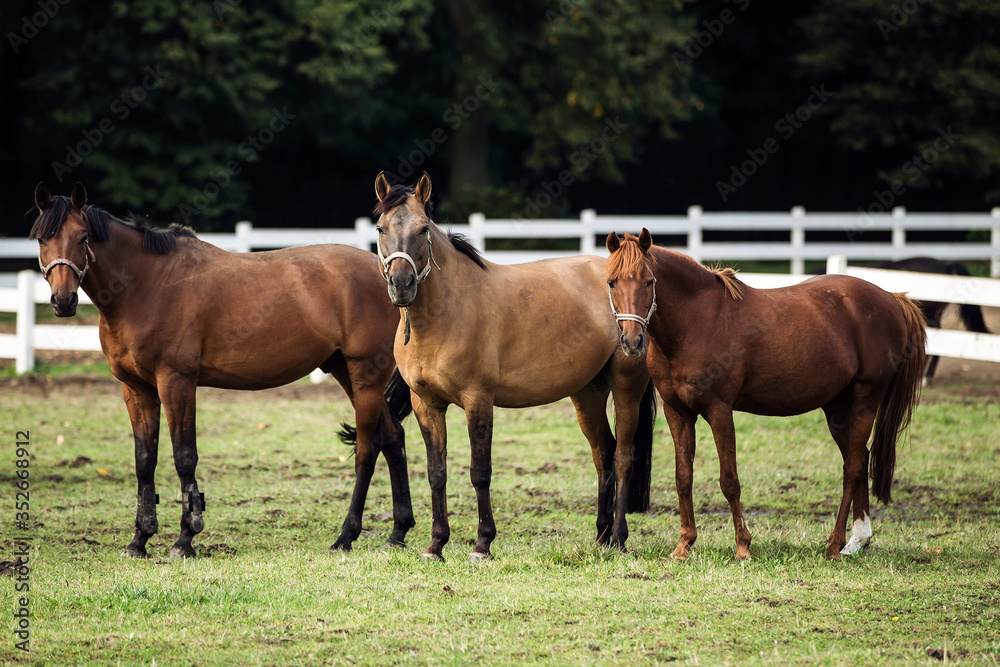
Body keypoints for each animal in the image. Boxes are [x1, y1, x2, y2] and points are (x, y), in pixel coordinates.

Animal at [30, 182, 414, 558]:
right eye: (42, 239)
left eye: (83, 237)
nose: (63, 301)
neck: (146, 285)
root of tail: (392, 276)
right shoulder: (136, 389)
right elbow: (144, 459)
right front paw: (139, 539)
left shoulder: (176, 383)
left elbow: (184, 456)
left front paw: (185, 538)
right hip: (347, 372)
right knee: (392, 438)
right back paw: (397, 532)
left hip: (365, 376)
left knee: (367, 449)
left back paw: (346, 536)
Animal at [372, 172, 656, 561]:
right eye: (381, 228)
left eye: (423, 228)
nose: (401, 285)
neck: (446, 313)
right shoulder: (425, 404)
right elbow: (436, 472)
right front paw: (436, 544)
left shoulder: (478, 399)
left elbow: (480, 471)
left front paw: (482, 544)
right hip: (588, 392)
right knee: (604, 454)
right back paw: (601, 535)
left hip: (627, 388)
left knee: (625, 456)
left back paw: (618, 538)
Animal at [605, 230, 926, 560]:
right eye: (611, 282)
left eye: (649, 281)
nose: (632, 341)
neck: (698, 321)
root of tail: (892, 298)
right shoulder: (677, 411)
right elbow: (683, 477)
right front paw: (684, 544)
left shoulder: (720, 410)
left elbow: (729, 480)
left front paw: (743, 546)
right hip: (837, 408)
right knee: (859, 459)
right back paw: (857, 541)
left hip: (865, 400)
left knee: (852, 468)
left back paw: (834, 544)